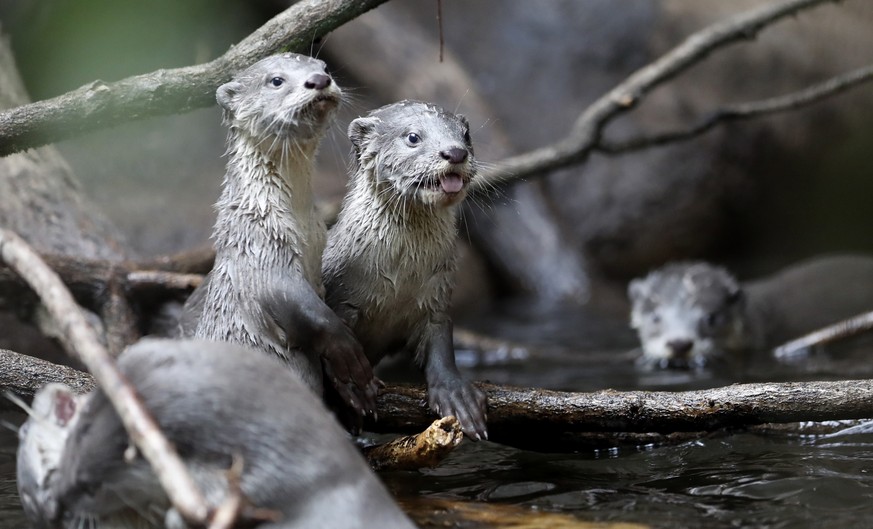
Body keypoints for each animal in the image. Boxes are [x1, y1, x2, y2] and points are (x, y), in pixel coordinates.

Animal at [179, 52, 376, 416]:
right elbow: (298, 304)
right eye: (276, 80)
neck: (295, 215)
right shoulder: (260, 243)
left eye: (324, 68)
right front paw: (351, 360)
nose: (319, 80)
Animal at [320, 101, 488, 440]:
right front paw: (352, 389)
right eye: (412, 137)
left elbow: (441, 341)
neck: (398, 279)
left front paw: (456, 394)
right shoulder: (341, 297)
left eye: (465, 134)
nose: (455, 152)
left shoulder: (437, 295)